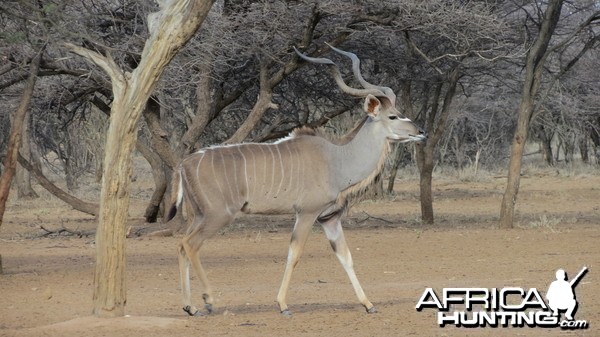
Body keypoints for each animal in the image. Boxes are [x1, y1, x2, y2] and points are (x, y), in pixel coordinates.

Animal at [166, 44, 424, 316]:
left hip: (200, 216)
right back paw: (208, 300)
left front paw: (368, 304)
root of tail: (184, 164)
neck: (336, 158)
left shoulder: (329, 218)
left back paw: (189, 306)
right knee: (190, 244)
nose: (420, 132)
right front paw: (282, 305)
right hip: (218, 215)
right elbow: (294, 254)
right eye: (393, 116)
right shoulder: (307, 213)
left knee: (181, 245)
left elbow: (345, 256)